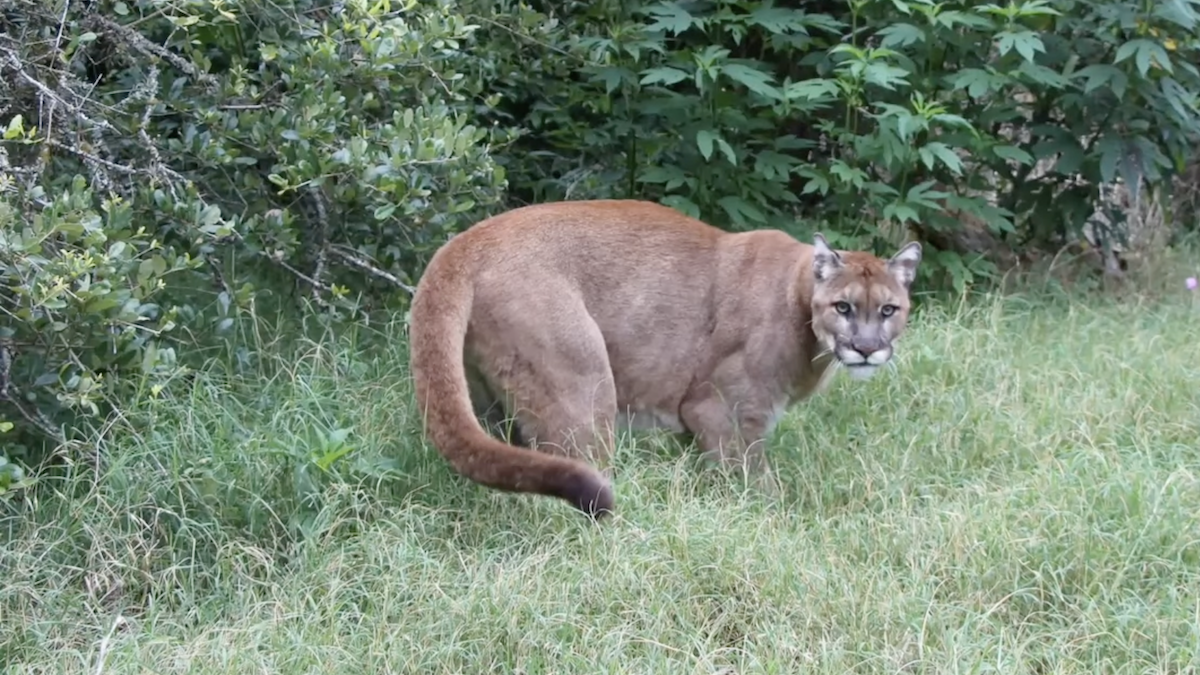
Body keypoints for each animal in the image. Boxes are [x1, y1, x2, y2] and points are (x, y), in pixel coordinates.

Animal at [408, 196, 921, 516]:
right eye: (843, 307)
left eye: (888, 309)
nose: (867, 348)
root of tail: (466, 241)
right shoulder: (722, 411)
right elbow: (756, 484)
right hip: (583, 391)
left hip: (492, 401)